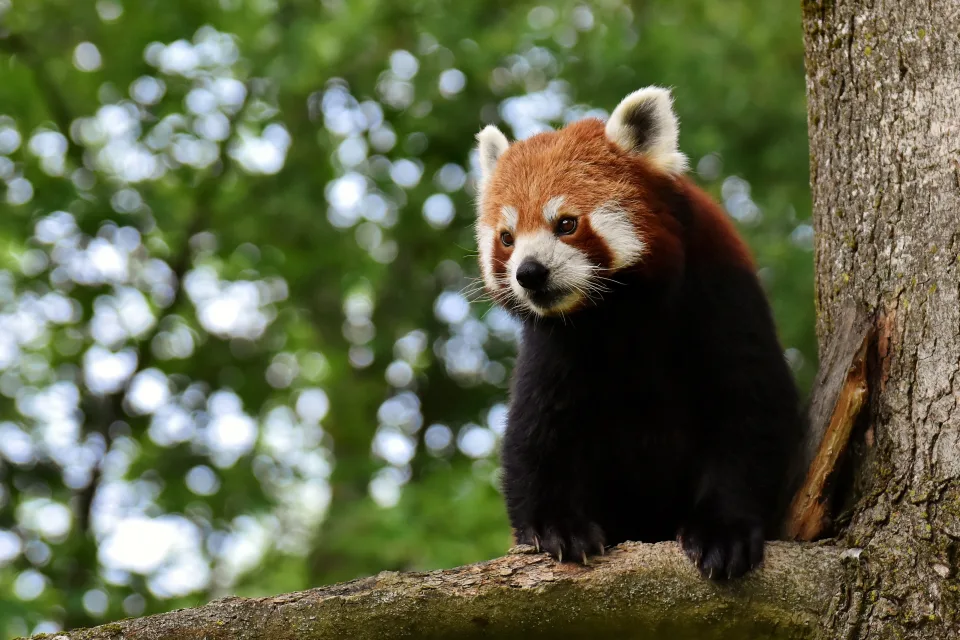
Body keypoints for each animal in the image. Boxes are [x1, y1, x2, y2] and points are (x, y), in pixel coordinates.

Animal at [472, 86, 804, 580]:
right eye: (507, 238)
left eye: (566, 223)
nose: (529, 273)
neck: (618, 314)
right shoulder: (555, 345)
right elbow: (535, 432)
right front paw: (557, 528)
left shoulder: (722, 298)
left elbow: (751, 410)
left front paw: (723, 532)